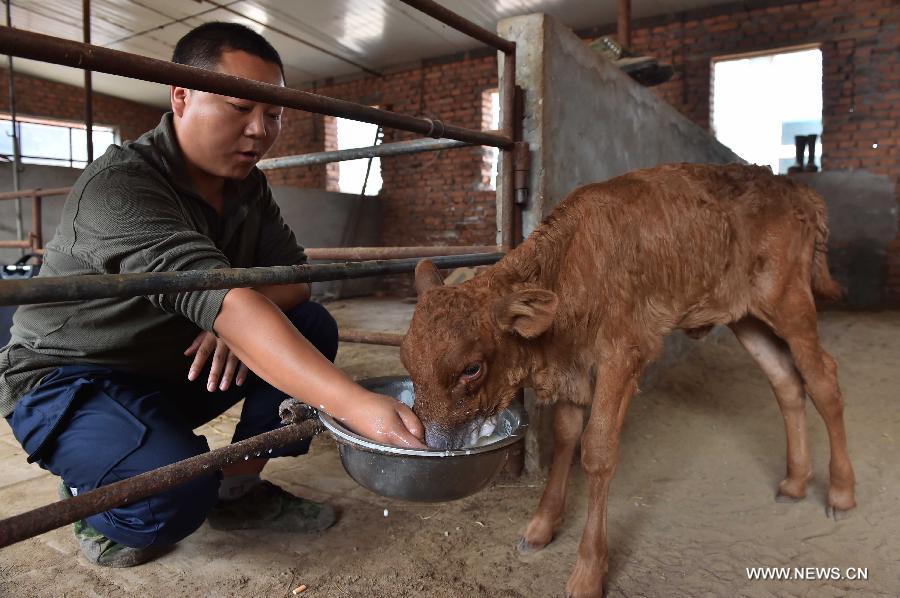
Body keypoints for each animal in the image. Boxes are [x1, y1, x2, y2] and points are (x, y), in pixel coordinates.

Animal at [400, 164, 856, 598]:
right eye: (406, 359)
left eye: (471, 368)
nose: (433, 443)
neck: (574, 264)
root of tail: (795, 189)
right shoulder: (574, 369)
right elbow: (566, 435)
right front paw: (540, 528)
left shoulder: (621, 357)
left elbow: (597, 451)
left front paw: (587, 574)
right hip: (747, 318)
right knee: (786, 381)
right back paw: (795, 483)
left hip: (791, 304)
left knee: (823, 378)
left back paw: (840, 493)